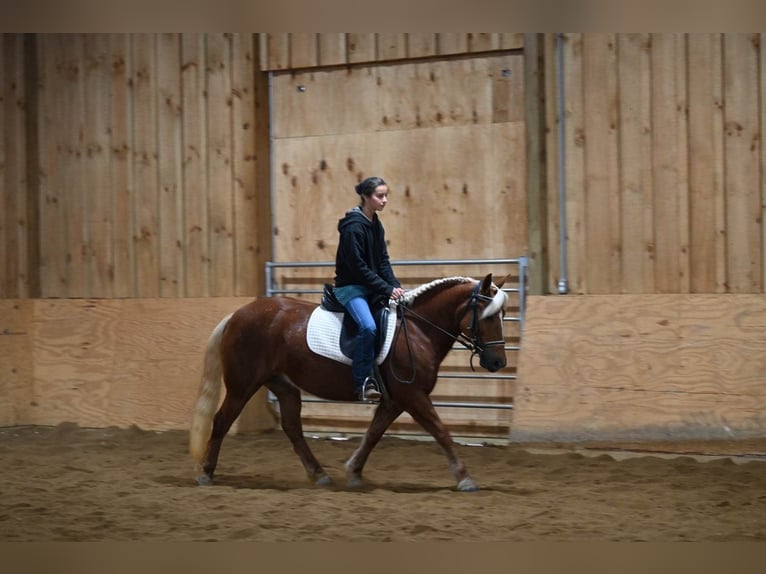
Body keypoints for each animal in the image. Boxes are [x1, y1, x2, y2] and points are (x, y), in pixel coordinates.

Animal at [188, 276, 508, 492]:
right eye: (487, 316)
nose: (498, 363)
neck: (418, 329)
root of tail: (237, 314)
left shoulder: (395, 400)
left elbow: (373, 434)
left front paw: (353, 472)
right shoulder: (413, 395)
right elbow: (441, 431)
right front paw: (465, 478)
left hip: (283, 386)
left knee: (292, 428)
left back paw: (319, 475)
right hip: (242, 385)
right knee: (222, 420)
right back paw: (206, 473)